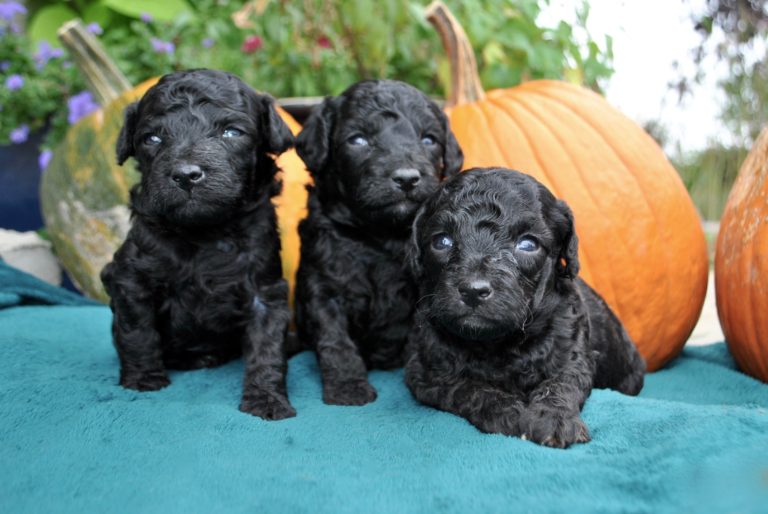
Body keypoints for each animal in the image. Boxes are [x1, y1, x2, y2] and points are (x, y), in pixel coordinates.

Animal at [100, 69, 296, 420]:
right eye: (152, 138)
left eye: (232, 132)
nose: (186, 175)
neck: (204, 231)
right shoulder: (129, 278)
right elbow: (137, 331)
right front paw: (142, 379)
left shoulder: (265, 290)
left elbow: (267, 348)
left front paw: (267, 399)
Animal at [294, 80, 462, 404]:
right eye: (357, 139)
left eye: (429, 140)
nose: (407, 178)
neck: (381, 236)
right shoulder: (324, 287)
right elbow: (335, 340)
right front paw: (348, 387)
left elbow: (417, 337)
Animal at [404, 167, 644, 444]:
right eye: (442, 241)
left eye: (528, 244)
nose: (473, 291)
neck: (497, 344)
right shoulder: (426, 372)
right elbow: (468, 388)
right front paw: (509, 413)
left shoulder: (573, 353)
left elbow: (560, 383)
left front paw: (555, 420)